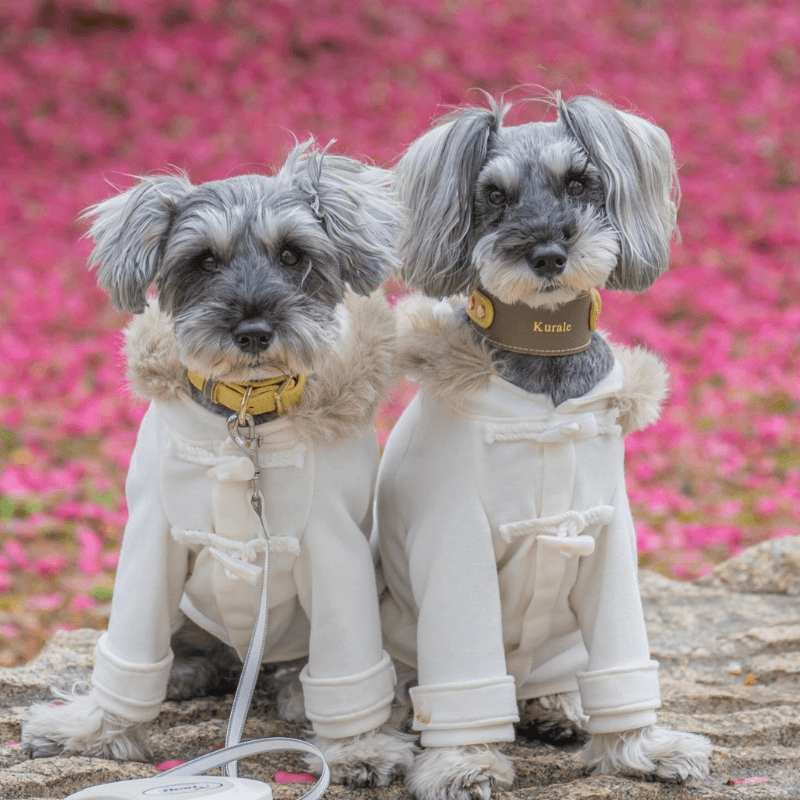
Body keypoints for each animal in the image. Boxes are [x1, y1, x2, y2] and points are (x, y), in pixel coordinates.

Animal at [376, 97, 712, 800]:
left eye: (579, 183)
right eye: (493, 196)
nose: (550, 254)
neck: (545, 352)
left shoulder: (607, 538)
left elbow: (623, 661)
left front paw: (642, 747)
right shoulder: (456, 545)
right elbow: (465, 675)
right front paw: (464, 763)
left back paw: (561, 707)